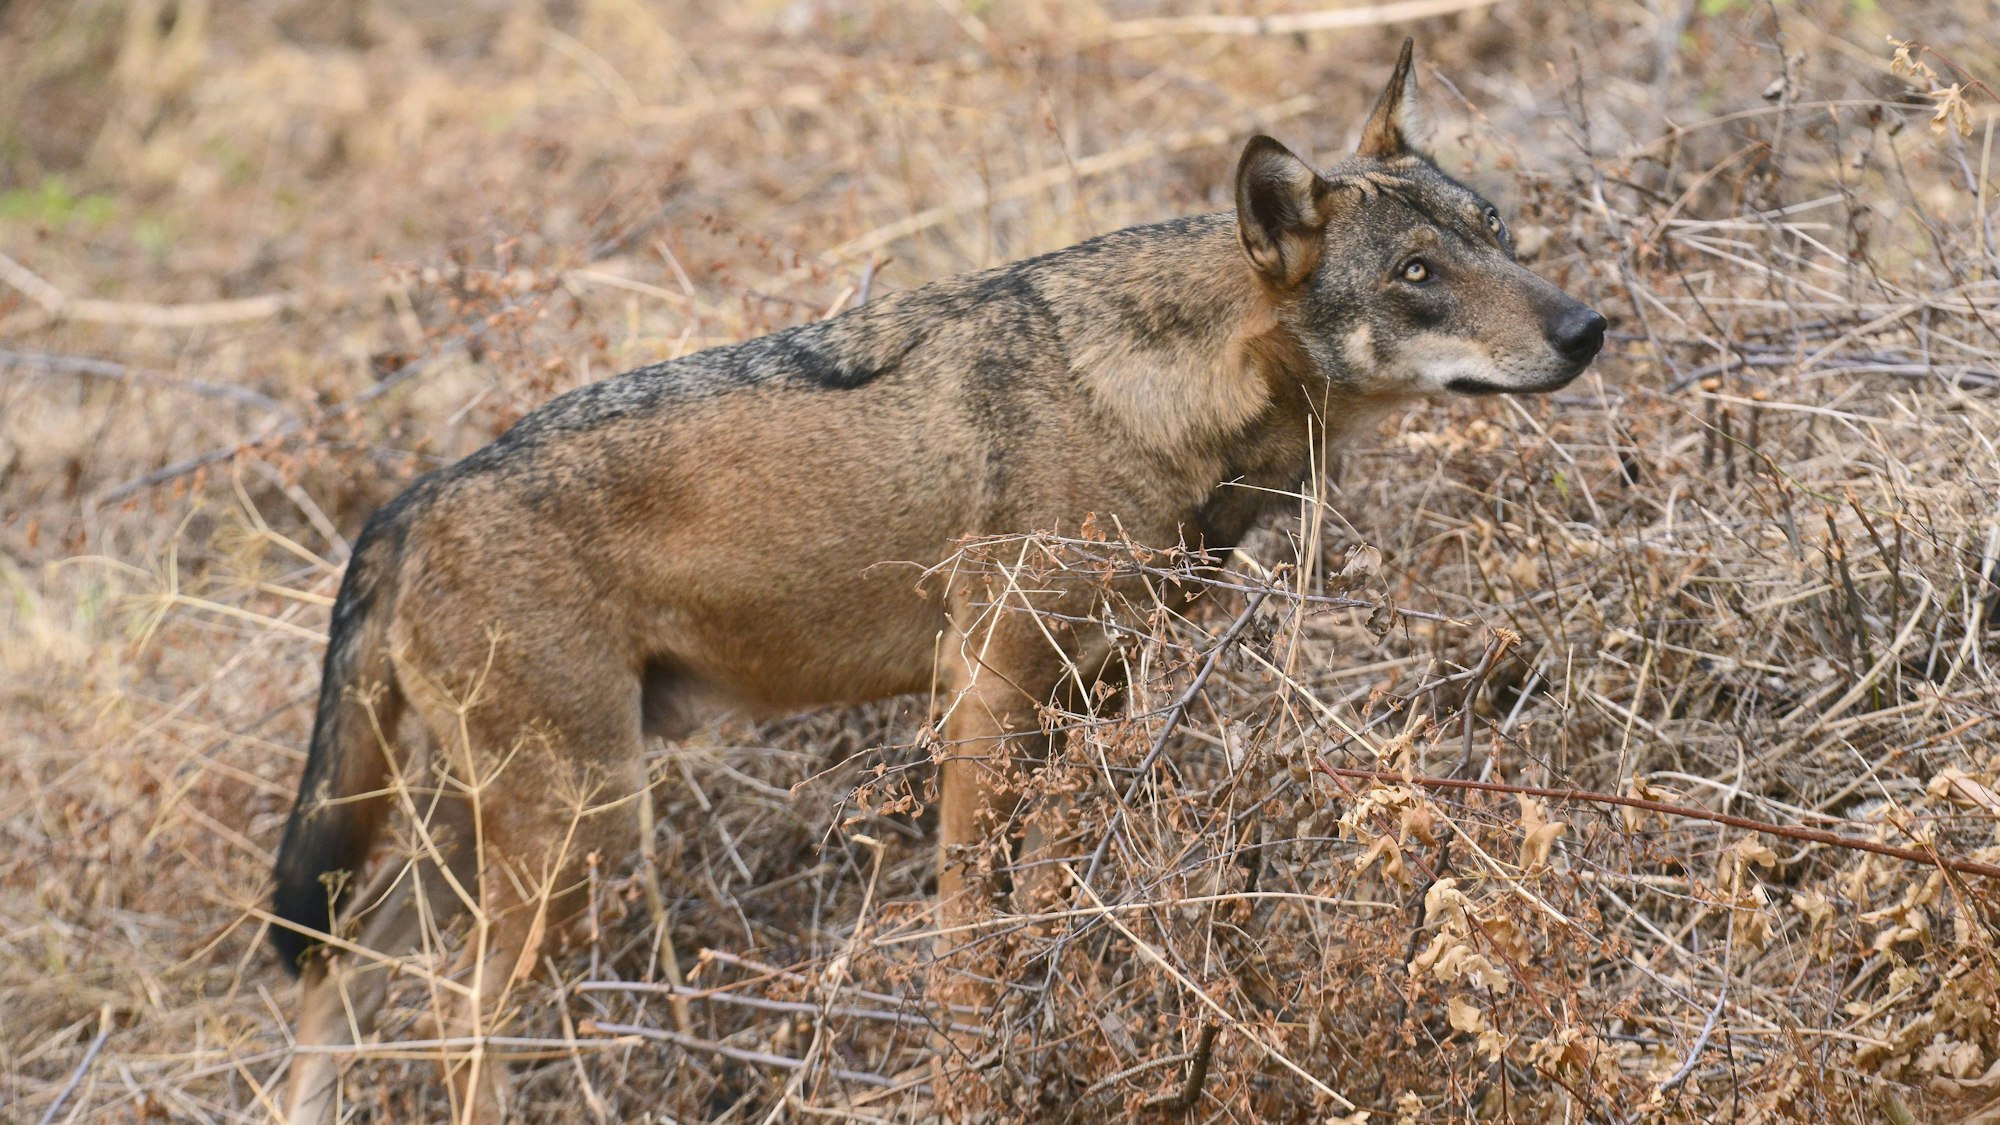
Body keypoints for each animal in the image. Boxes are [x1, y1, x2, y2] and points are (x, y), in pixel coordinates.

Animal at [268, 39, 1605, 1122]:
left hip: (501, 834)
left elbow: (1045, 910)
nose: (1588, 328)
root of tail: (407, 501)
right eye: (1416, 273)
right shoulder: (983, 691)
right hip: (578, 834)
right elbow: (968, 937)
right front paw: (972, 1077)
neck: (1157, 393)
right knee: (447, 1024)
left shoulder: (1091, 701)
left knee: (347, 970)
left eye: (1496, 232)